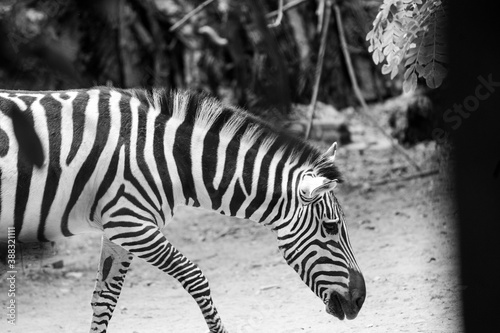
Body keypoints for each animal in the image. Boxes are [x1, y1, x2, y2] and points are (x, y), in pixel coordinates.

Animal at [0, 87, 368, 330]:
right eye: (332, 227)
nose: (360, 300)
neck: (171, 158)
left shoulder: (117, 229)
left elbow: (104, 300)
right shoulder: (133, 225)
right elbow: (195, 277)